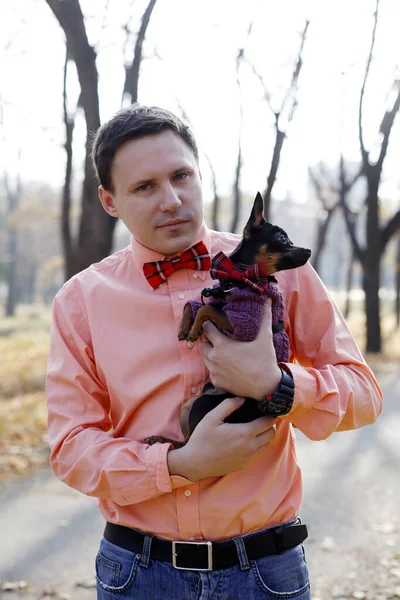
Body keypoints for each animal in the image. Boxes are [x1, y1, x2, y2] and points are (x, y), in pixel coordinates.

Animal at [145, 195, 310, 448]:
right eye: (282, 239)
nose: (308, 250)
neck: (239, 278)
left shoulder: (243, 325)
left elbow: (206, 308)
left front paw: (194, 329)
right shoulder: (217, 299)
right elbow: (196, 303)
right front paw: (185, 326)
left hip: (199, 404)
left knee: (191, 441)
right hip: (189, 404)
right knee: (185, 443)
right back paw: (159, 439)